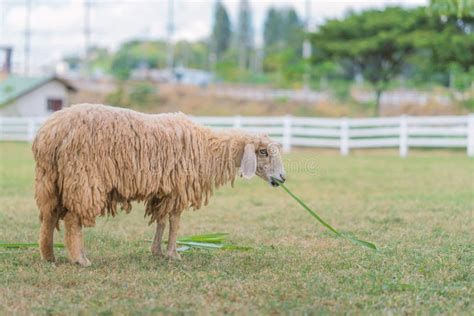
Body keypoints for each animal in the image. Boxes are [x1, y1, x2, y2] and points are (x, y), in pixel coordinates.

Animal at [34, 104, 286, 266]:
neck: (208, 148)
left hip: (51, 180)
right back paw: (80, 258)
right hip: (83, 177)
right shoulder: (178, 188)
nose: (282, 178)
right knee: (73, 220)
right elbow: (174, 222)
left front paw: (156, 251)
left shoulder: (163, 190)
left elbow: (162, 221)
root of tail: (52, 133)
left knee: (49, 217)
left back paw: (49, 256)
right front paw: (173, 254)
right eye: (263, 152)